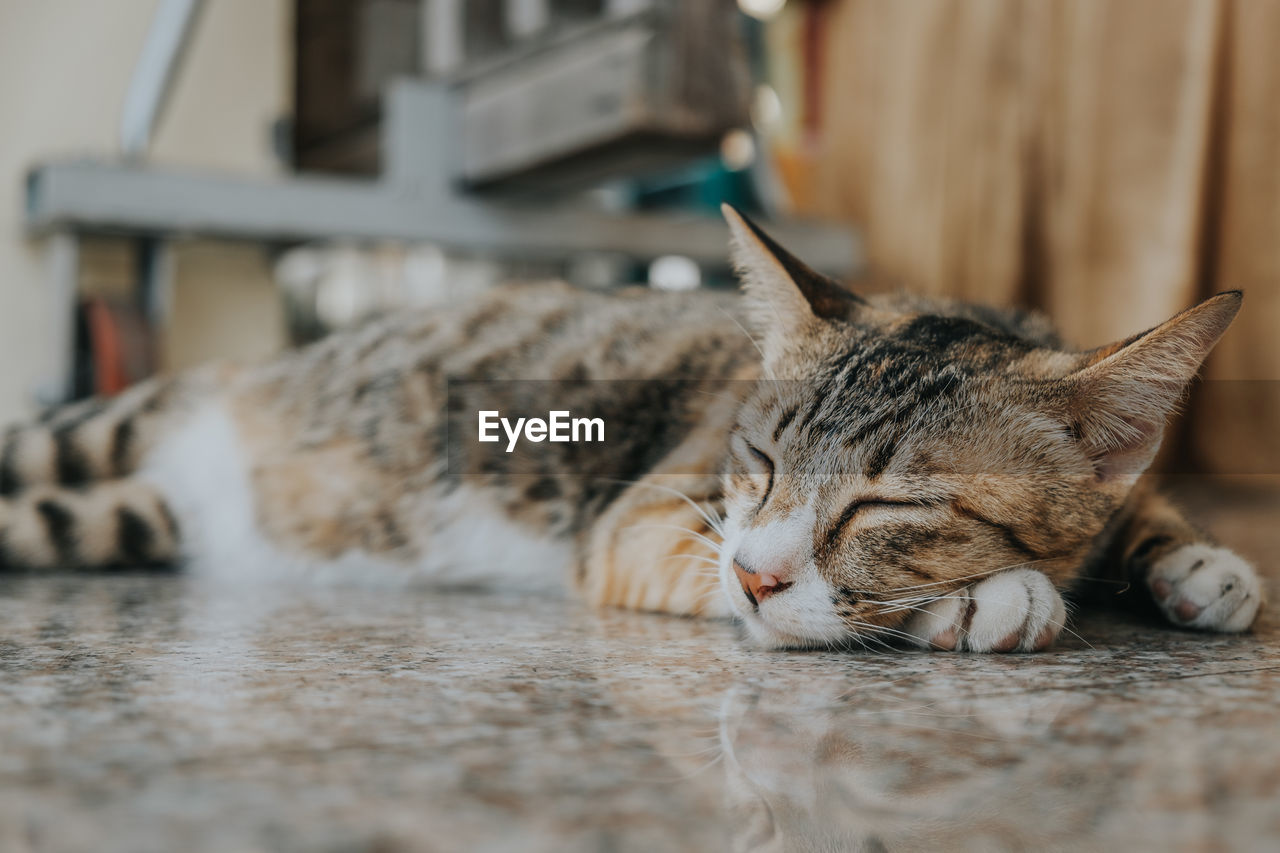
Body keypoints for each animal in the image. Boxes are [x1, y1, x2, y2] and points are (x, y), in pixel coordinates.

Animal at [0, 207, 1264, 650]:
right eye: (756, 460)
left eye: (888, 502)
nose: (754, 573)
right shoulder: (650, 516)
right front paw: (986, 599)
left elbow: (1134, 509)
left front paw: (1195, 562)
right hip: (102, 435)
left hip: (117, 515)